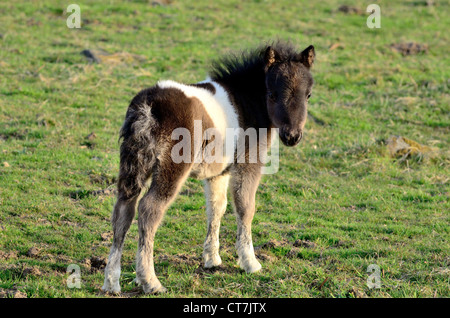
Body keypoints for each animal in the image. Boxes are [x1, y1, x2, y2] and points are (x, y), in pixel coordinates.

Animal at [102, 41, 314, 294]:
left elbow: (216, 207)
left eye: (308, 95)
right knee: (148, 209)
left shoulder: (217, 172)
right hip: (172, 167)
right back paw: (150, 281)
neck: (246, 100)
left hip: (133, 163)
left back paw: (111, 282)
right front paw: (250, 262)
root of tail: (148, 107)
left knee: (124, 210)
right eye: (271, 94)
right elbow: (245, 206)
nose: (292, 136)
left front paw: (212, 259)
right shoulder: (248, 164)